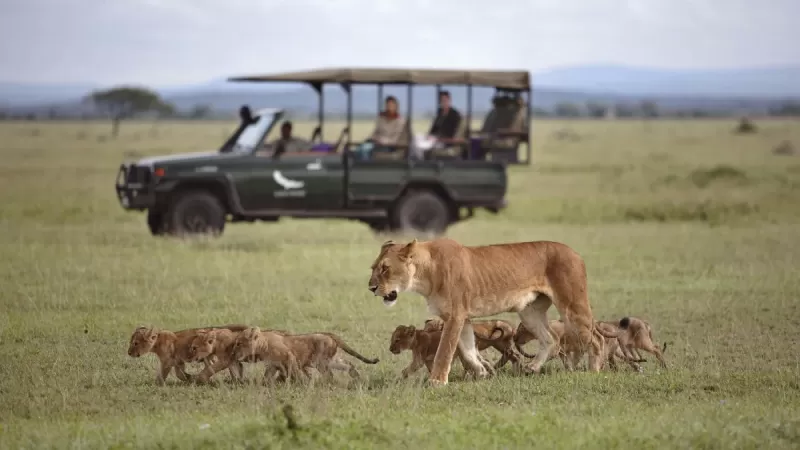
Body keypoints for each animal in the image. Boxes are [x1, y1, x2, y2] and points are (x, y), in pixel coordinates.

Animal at [232, 327, 380, 383]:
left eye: (239, 343)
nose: (233, 352)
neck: (263, 345)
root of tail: (330, 334)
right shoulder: (272, 366)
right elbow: (266, 378)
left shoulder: (290, 357)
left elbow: (295, 373)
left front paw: (300, 384)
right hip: (331, 360)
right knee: (348, 365)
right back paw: (356, 378)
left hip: (321, 362)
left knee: (330, 375)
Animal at [368, 238, 604, 386]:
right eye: (373, 268)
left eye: (385, 268)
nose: (371, 288)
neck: (425, 274)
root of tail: (575, 253)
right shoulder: (464, 318)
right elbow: (468, 350)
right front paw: (481, 372)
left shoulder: (455, 315)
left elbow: (445, 351)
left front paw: (437, 381)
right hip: (529, 312)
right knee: (551, 338)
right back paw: (532, 368)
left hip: (573, 306)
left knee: (596, 338)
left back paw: (593, 371)